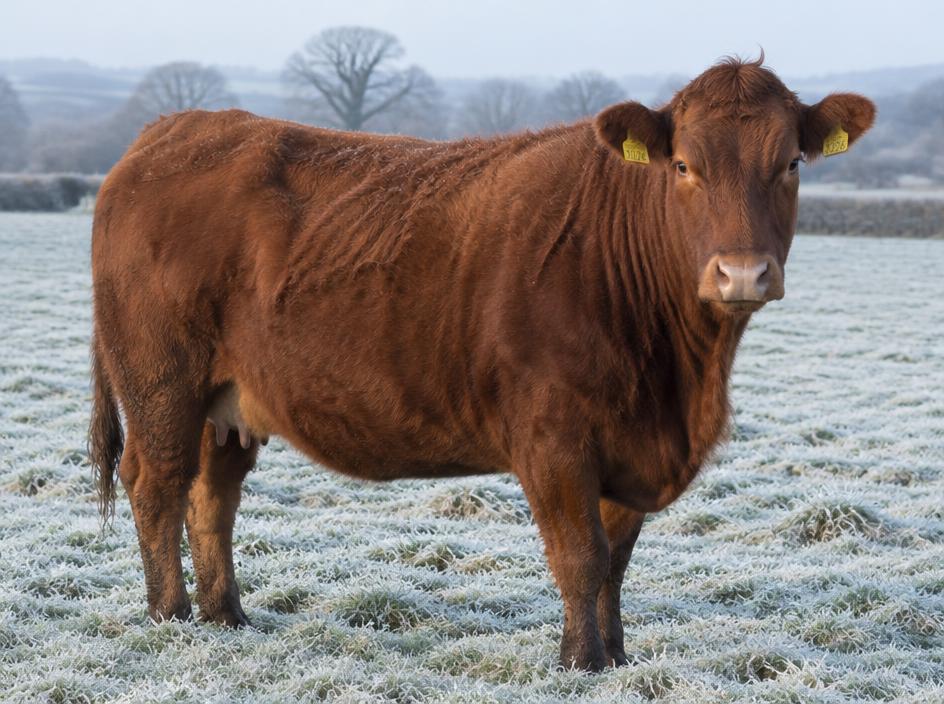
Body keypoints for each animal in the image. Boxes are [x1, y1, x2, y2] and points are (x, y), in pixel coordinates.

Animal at [88, 57, 874, 672]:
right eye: (684, 165)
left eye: (792, 163)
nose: (742, 273)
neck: (678, 379)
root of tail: (172, 131)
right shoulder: (553, 440)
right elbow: (581, 556)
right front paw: (580, 663)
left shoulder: (627, 448)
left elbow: (616, 562)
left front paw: (618, 657)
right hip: (161, 382)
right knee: (156, 485)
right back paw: (170, 618)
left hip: (228, 402)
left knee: (211, 497)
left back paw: (228, 618)